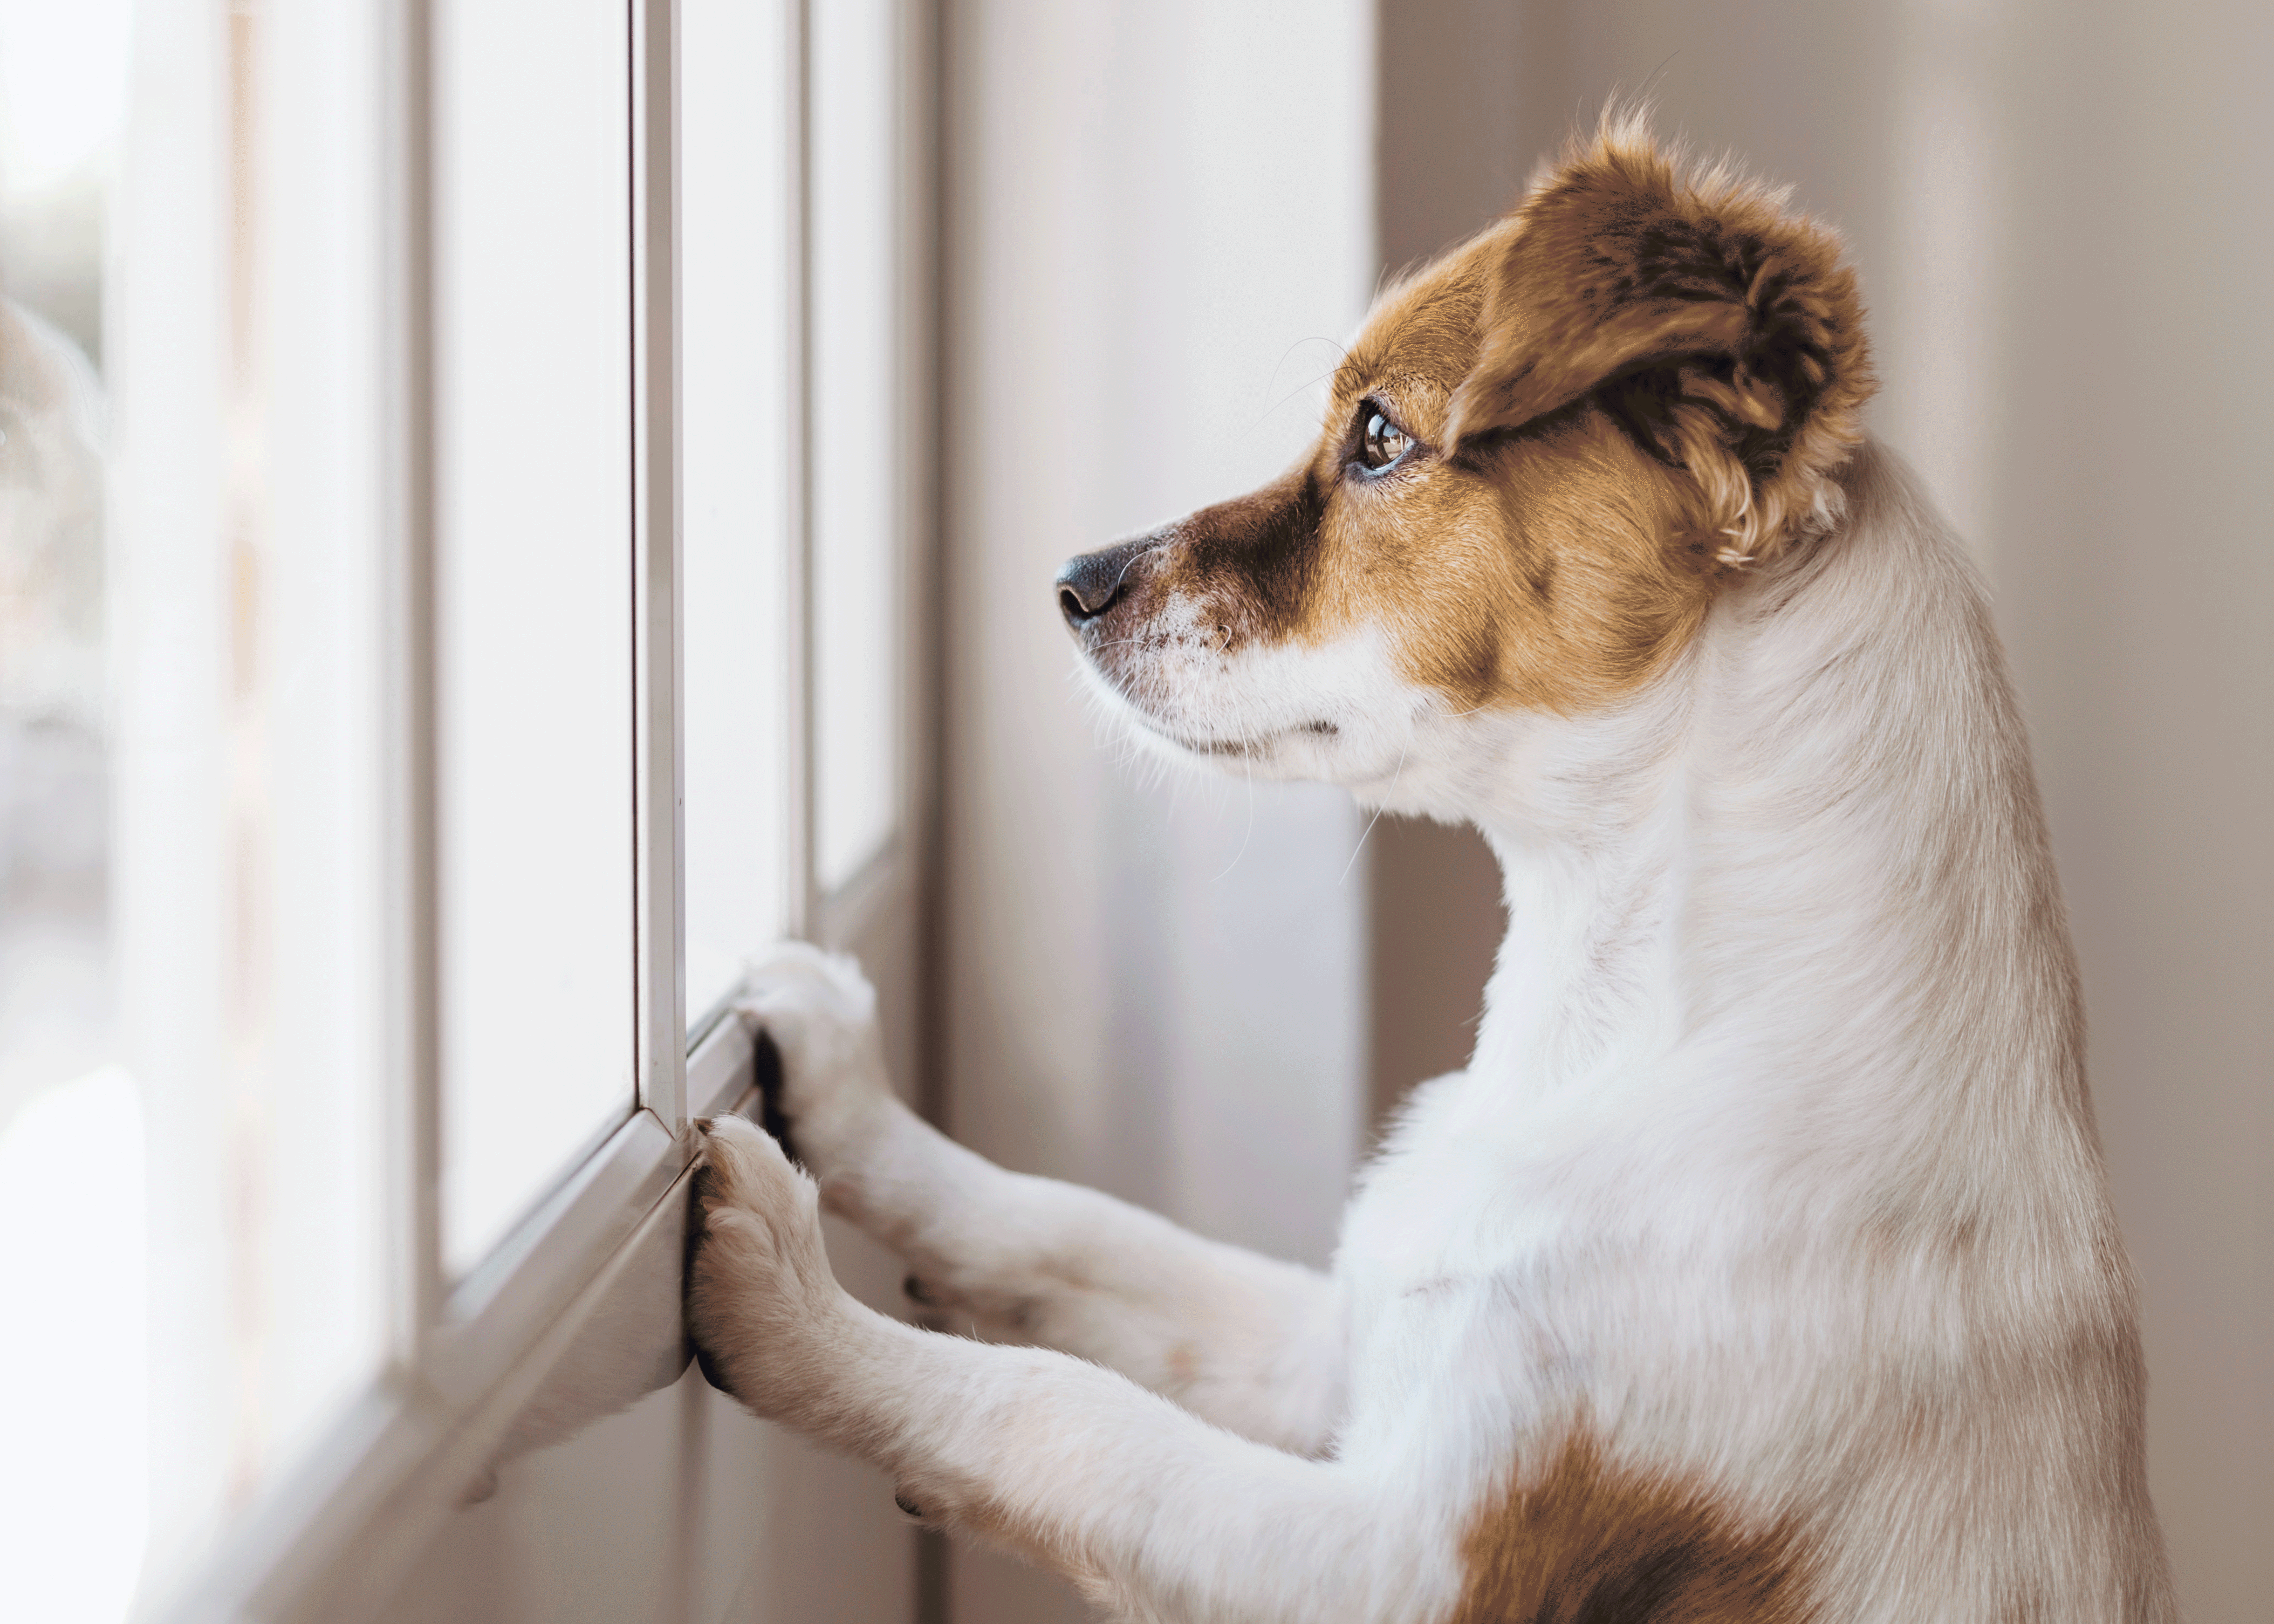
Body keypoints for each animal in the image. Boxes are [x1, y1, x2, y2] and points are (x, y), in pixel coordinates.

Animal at [682, 120, 2174, 1610]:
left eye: (1381, 437)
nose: (1071, 582)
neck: (1616, 1023)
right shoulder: (1338, 1344)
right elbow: (1072, 1229)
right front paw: (850, 1094)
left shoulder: (1405, 1561)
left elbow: (1064, 1411)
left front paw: (797, 1307)